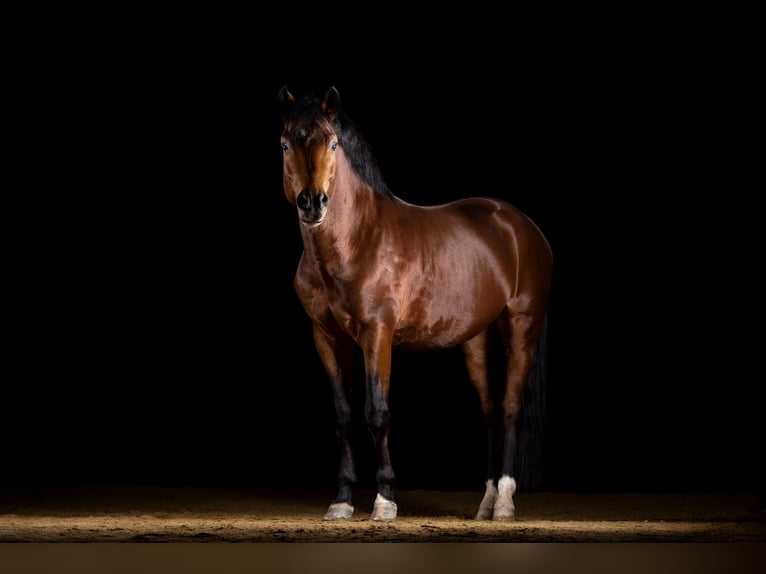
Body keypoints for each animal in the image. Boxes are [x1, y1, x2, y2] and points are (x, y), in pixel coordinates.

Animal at [277, 85, 553, 521]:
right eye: (285, 144)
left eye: (333, 144)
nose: (313, 203)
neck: (357, 240)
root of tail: (521, 225)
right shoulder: (325, 337)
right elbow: (342, 414)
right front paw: (342, 501)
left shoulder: (377, 334)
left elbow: (377, 412)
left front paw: (385, 499)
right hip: (475, 339)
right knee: (491, 410)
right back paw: (487, 500)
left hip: (522, 326)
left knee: (510, 408)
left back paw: (505, 502)